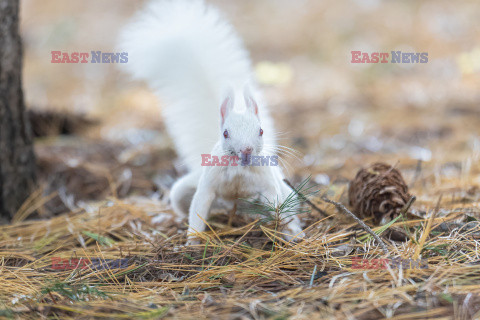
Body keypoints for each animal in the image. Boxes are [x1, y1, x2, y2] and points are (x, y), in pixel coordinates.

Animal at [118, 0, 304, 242]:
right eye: (225, 133)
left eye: (261, 131)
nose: (246, 150)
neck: (239, 169)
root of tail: (237, 207)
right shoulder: (207, 185)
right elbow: (198, 209)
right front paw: (192, 242)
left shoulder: (268, 184)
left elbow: (276, 203)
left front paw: (283, 230)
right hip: (183, 192)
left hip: (286, 191)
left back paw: (293, 231)